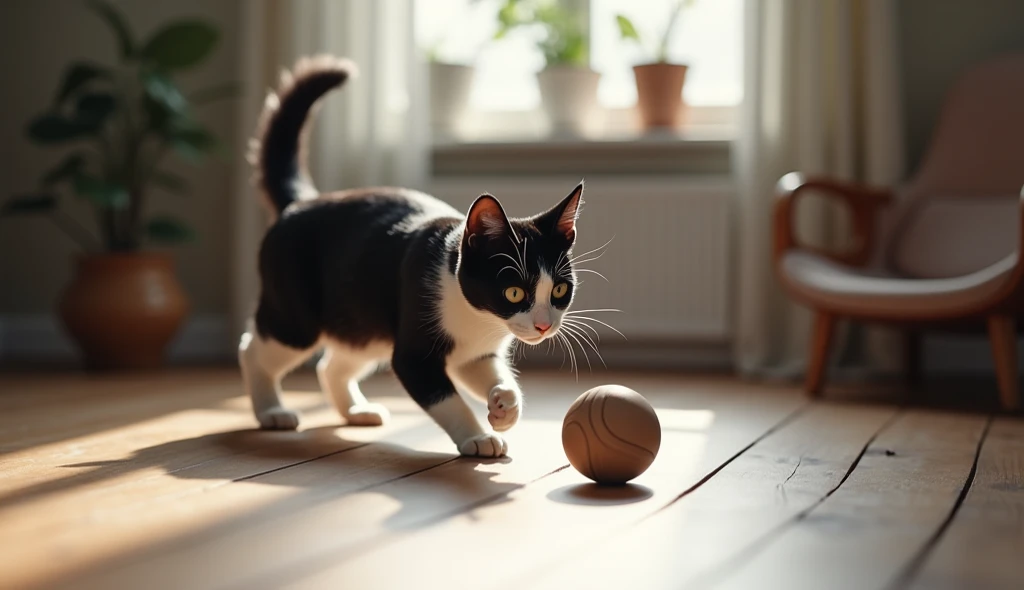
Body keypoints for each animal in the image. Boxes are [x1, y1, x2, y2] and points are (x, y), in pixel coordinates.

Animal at [234, 55, 581, 458]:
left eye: (559, 290)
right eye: (514, 292)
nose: (543, 326)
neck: (480, 319)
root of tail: (300, 202)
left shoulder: (475, 353)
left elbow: (490, 374)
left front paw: (504, 405)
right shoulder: (415, 350)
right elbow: (445, 397)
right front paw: (477, 436)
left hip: (359, 319)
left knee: (334, 364)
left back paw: (356, 410)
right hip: (297, 315)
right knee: (254, 348)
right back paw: (271, 411)